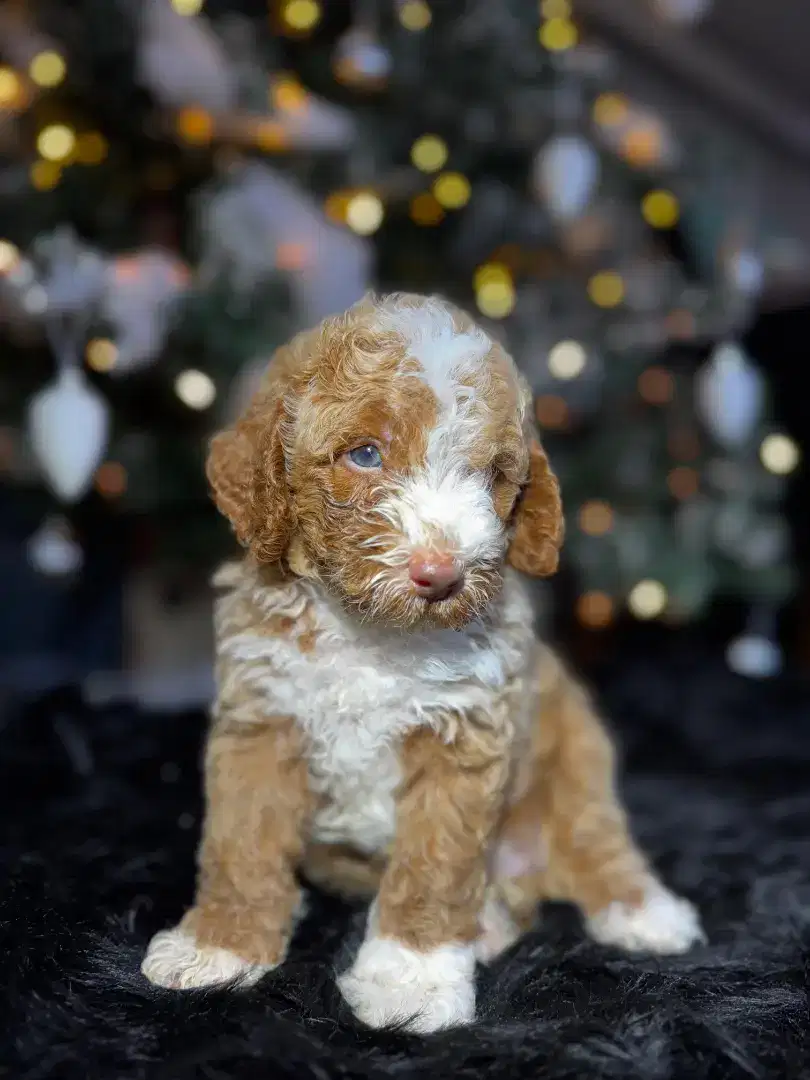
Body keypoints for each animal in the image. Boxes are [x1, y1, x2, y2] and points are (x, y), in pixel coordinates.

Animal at [142, 293, 708, 1028]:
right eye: (365, 454)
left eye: (491, 474)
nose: (441, 574)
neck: (371, 634)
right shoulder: (261, 721)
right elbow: (242, 840)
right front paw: (220, 946)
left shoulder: (461, 736)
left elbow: (436, 864)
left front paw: (410, 981)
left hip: (575, 753)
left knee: (594, 840)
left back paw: (641, 912)